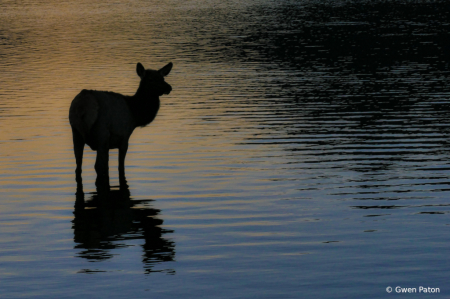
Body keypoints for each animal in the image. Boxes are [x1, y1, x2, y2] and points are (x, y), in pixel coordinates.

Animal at [69, 62, 173, 191]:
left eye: (162, 78)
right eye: (151, 79)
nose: (168, 87)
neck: (136, 115)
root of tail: (82, 105)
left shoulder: (108, 145)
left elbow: (107, 166)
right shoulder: (124, 137)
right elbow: (120, 166)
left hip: (76, 132)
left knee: (78, 165)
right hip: (102, 132)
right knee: (97, 165)